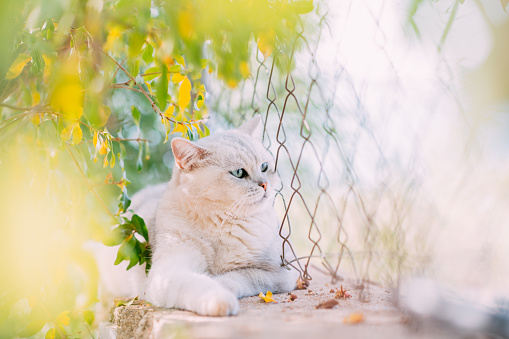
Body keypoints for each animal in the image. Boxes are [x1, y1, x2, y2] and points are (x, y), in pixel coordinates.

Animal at [94, 116, 298, 316]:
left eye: (264, 167)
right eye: (238, 173)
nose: (264, 184)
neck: (221, 223)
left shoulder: (279, 273)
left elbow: (239, 276)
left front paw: (219, 281)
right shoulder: (167, 272)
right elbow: (200, 284)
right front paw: (219, 299)